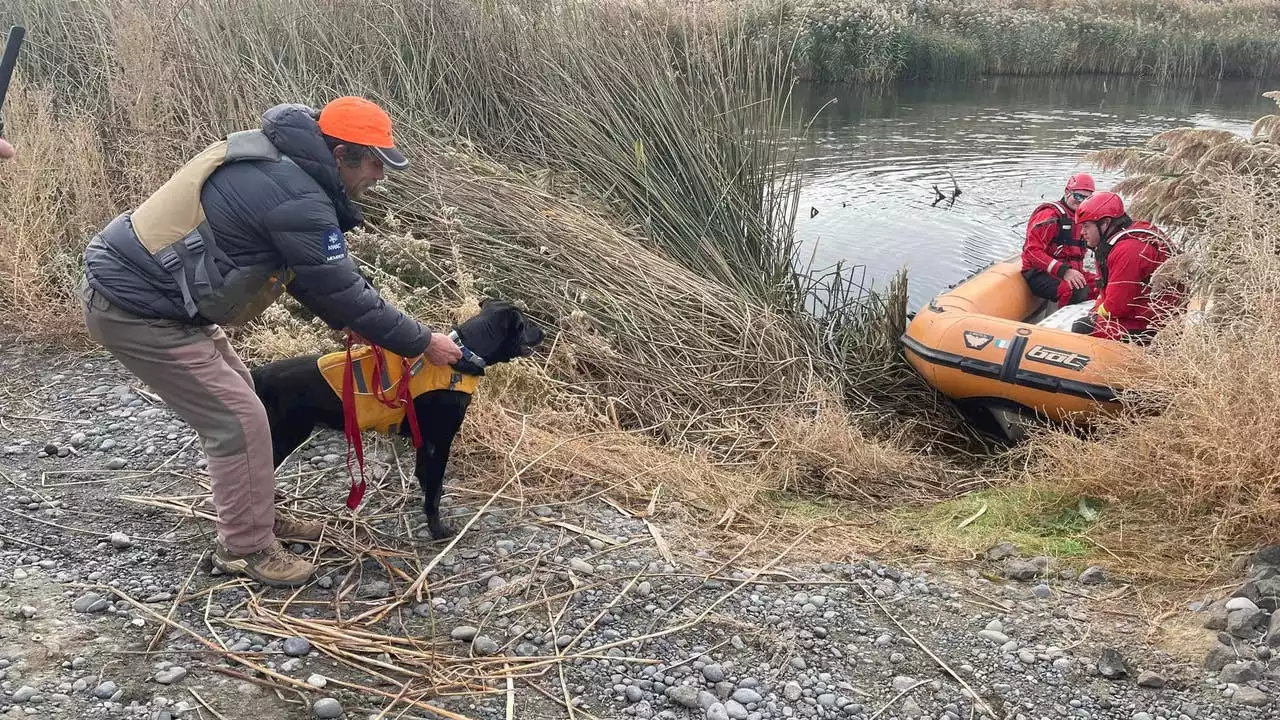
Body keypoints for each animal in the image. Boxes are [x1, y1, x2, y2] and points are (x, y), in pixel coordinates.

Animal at [250, 294, 545, 535]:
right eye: (524, 324)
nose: (543, 332)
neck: (463, 356)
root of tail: (257, 374)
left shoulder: (425, 440)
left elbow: (427, 479)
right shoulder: (440, 441)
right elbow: (433, 491)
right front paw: (438, 530)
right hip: (283, 436)